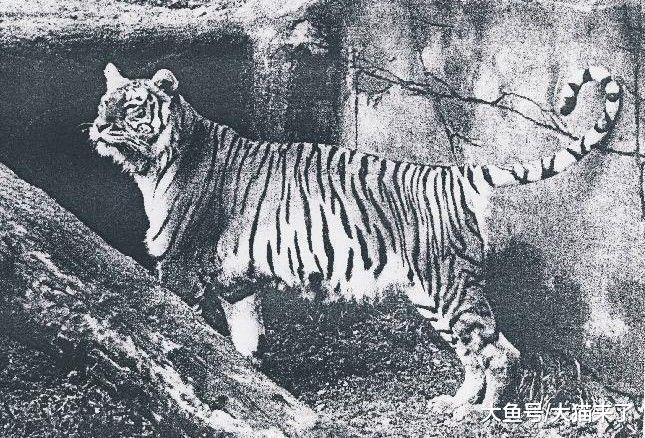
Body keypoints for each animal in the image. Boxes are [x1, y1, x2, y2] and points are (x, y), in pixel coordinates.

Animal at [89, 62, 621, 415]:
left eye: (130, 107)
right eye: (103, 103)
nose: (96, 126)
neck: (153, 165)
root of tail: (456, 173)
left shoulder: (178, 266)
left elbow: (176, 327)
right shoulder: (237, 284)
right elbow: (241, 342)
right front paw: (248, 381)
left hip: (448, 288)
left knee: (499, 352)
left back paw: (479, 415)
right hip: (432, 293)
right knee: (479, 350)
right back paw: (453, 402)